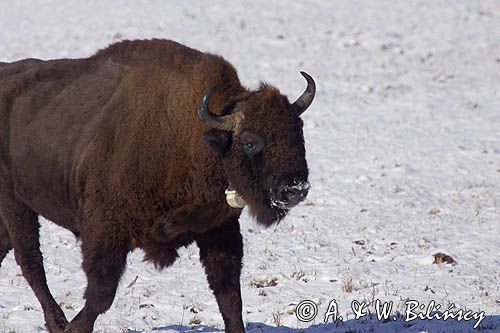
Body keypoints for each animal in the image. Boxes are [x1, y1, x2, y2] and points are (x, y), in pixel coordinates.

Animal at [0, 37, 314, 330]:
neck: (193, 137)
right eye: (249, 141)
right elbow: (101, 293)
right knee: (31, 262)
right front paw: (73, 328)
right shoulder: (105, 231)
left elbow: (229, 298)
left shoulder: (220, 231)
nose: (295, 189)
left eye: (298, 132)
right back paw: (57, 322)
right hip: (16, 204)